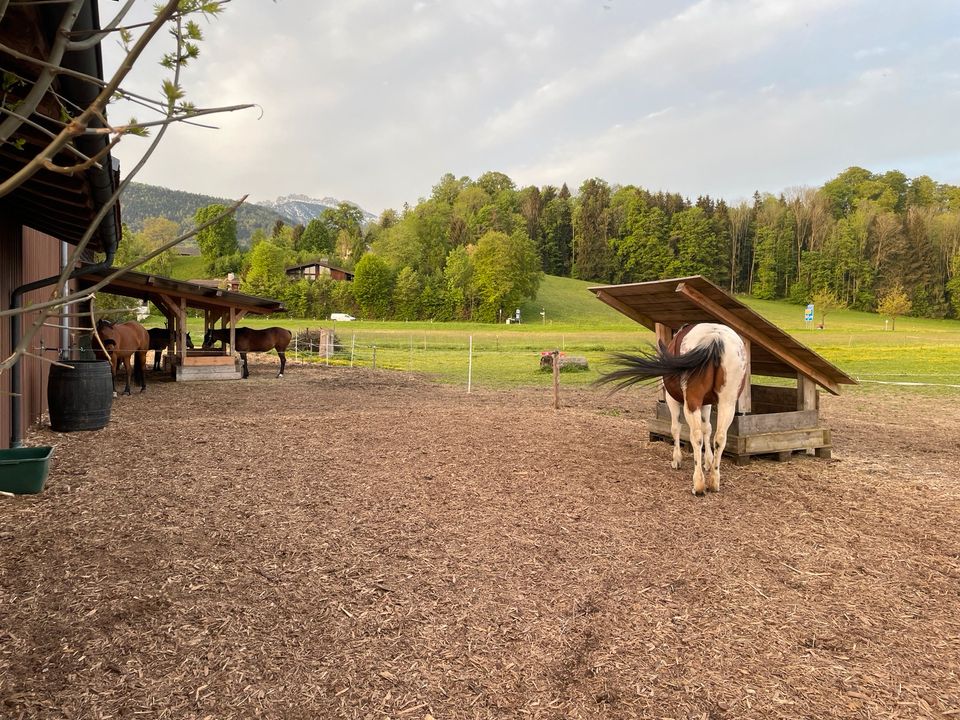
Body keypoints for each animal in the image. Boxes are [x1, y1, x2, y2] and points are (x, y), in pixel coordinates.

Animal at [596, 324, 748, 498]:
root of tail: (715, 337)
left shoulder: (672, 400)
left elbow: (676, 428)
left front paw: (677, 459)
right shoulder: (706, 404)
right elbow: (707, 429)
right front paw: (708, 461)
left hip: (692, 402)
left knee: (696, 436)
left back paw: (698, 484)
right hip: (727, 402)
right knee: (720, 437)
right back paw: (714, 481)